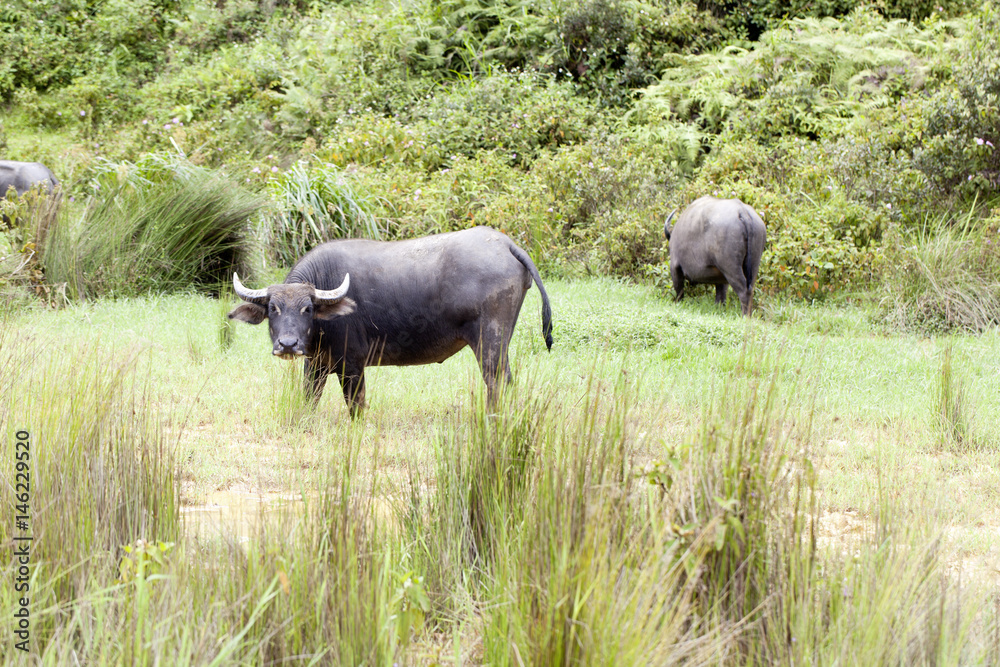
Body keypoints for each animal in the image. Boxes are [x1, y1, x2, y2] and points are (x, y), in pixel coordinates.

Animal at [229, 226, 553, 415]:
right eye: (273, 308)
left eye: (308, 309)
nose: (287, 344)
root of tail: (506, 244)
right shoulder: (316, 363)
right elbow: (309, 397)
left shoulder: (352, 365)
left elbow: (356, 405)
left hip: (490, 340)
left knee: (497, 380)